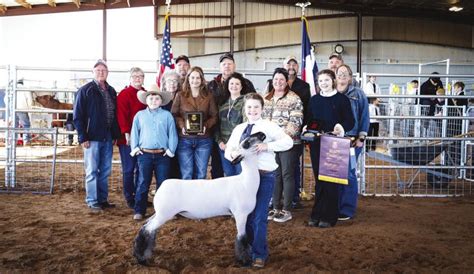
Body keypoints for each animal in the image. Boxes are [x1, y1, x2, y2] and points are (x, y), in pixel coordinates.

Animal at [133, 132, 266, 266]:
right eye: (246, 143)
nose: (262, 134)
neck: (245, 182)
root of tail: (162, 186)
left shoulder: (244, 215)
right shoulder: (240, 214)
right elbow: (242, 238)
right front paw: (245, 260)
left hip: (160, 213)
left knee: (146, 227)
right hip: (164, 214)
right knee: (147, 230)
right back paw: (141, 259)